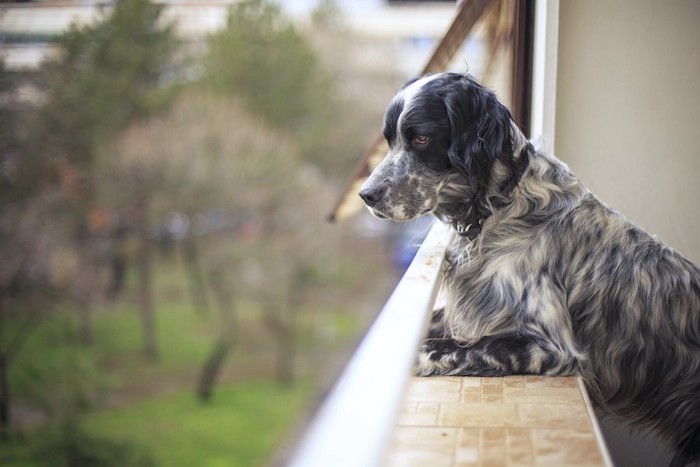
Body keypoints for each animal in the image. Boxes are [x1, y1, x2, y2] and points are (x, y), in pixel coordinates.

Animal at [360, 71, 700, 466]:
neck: (498, 208)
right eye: (390, 140)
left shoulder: (551, 346)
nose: (366, 195)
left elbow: (438, 348)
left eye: (421, 138)